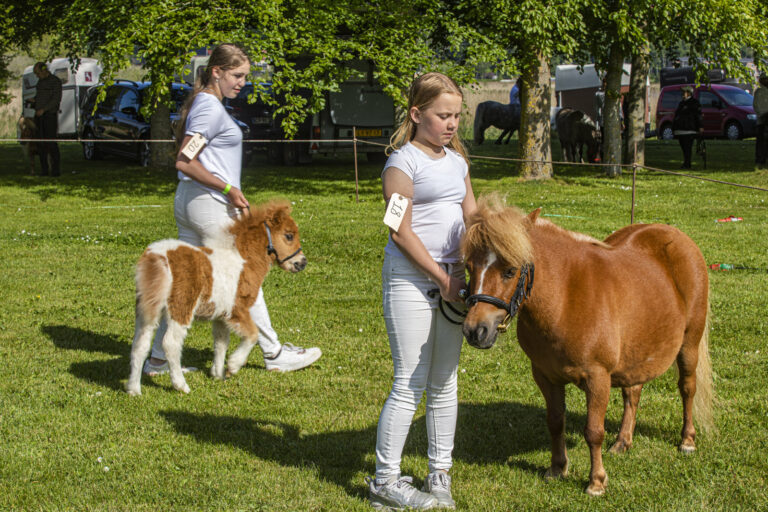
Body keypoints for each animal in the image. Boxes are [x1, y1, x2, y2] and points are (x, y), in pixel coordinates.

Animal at [126, 200, 306, 396]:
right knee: (171, 343)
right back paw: (181, 385)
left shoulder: (221, 315)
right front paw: (233, 366)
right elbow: (252, 334)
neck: (243, 259)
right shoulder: (237, 309)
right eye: (289, 235)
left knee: (140, 344)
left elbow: (221, 343)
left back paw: (134, 390)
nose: (302, 262)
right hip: (181, 307)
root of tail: (157, 257)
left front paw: (218, 374)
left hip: (146, 308)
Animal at [460, 196, 712, 496]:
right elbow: (555, 421)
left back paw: (687, 440)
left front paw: (596, 481)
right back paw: (623, 441)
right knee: (633, 392)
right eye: (469, 268)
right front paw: (557, 468)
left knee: (687, 388)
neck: (564, 297)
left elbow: (594, 431)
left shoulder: (597, 377)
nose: (476, 331)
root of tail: (678, 238)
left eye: (510, 270)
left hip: (689, 343)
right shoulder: (545, 376)